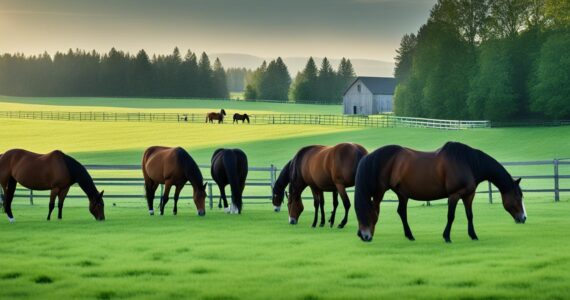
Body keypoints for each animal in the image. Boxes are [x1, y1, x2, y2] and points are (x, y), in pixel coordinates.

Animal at [352, 142, 524, 243]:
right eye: (518, 197)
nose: (523, 218)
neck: (468, 162)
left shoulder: (468, 195)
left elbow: (470, 215)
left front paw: (473, 235)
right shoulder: (454, 195)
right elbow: (451, 216)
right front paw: (446, 236)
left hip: (402, 194)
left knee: (401, 212)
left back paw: (408, 235)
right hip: (380, 191)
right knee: (373, 209)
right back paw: (368, 233)